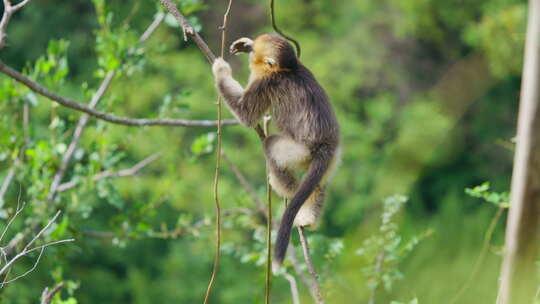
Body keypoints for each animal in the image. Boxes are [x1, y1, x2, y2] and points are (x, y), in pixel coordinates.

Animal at [212, 32, 342, 266]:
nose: (251, 48)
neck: (288, 70)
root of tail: (326, 145)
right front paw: (244, 44)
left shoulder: (266, 83)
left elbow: (245, 114)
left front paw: (221, 70)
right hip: (333, 159)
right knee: (320, 184)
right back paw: (310, 214)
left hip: (300, 151)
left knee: (271, 147)